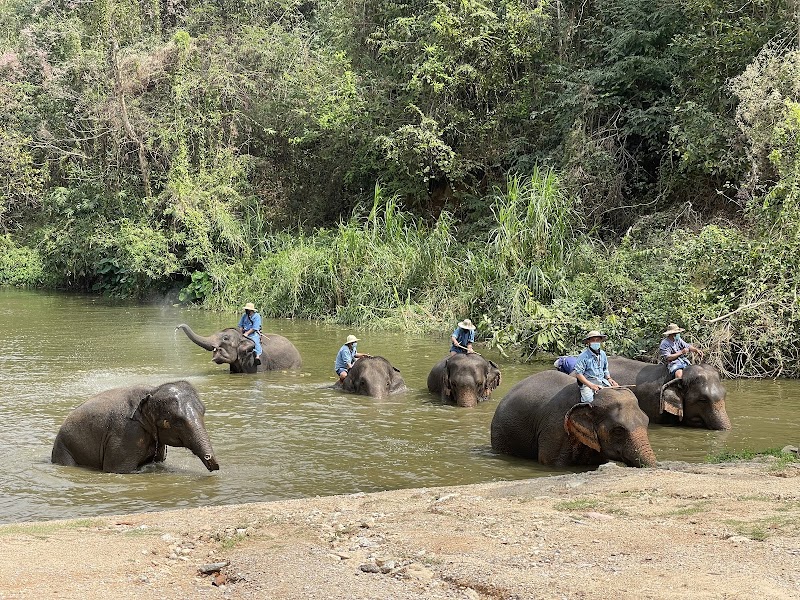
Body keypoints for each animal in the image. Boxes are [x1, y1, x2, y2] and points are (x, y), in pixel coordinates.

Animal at [51, 380, 219, 474]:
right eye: (168, 422)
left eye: (204, 411)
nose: (213, 463)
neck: (153, 391)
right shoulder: (126, 435)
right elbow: (117, 470)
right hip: (64, 448)